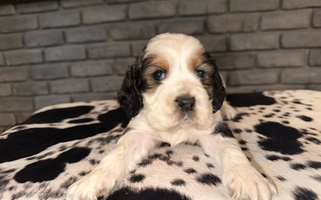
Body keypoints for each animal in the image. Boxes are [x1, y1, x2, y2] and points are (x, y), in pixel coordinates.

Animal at [65, 33, 276, 200]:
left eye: (201, 73)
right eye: (158, 74)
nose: (186, 102)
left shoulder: (215, 129)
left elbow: (233, 150)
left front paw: (249, 179)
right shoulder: (138, 131)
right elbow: (117, 153)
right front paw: (91, 180)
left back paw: (228, 109)